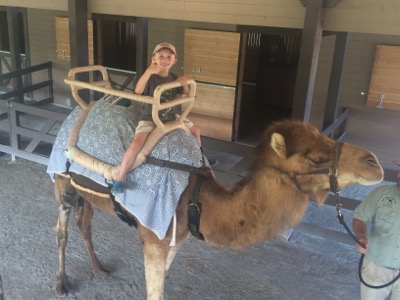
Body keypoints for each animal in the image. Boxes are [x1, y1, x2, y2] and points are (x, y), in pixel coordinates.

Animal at [51, 118, 382, 298]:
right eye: (315, 158)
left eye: (328, 137)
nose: (374, 162)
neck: (197, 197)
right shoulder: (154, 239)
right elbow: (155, 291)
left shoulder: (177, 239)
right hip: (63, 182)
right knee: (61, 231)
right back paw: (62, 284)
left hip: (86, 193)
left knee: (85, 222)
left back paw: (99, 268)